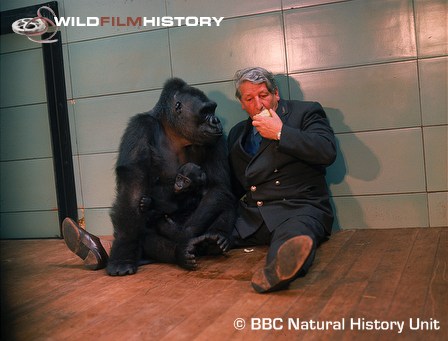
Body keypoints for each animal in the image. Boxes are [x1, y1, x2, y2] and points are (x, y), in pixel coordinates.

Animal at [107, 78, 236, 274]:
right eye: (205, 111)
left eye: (213, 110)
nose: (216, 121)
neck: (174, 131)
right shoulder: (140, 126)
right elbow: (133, 185)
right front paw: (123, 256)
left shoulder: (216, 138)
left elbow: (217, 185)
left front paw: (182, 233)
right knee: (146, 230)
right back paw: (180, 252)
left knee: (224, 201)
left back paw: (217, 238)